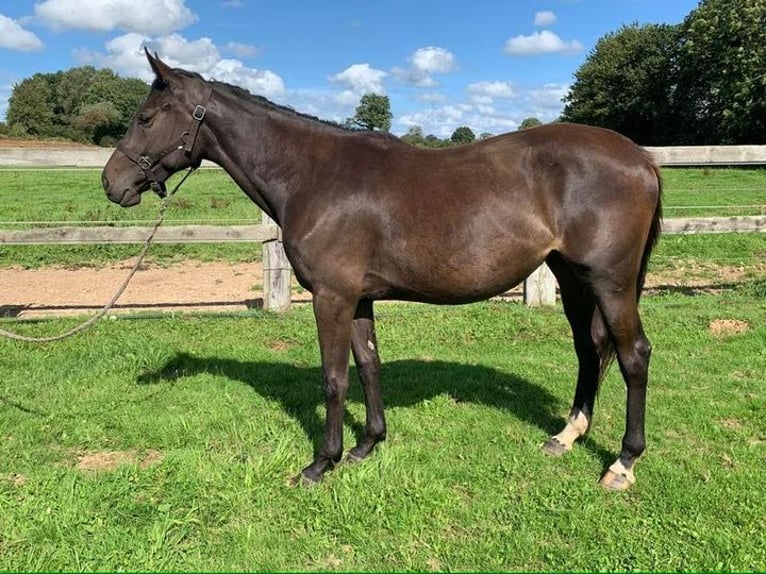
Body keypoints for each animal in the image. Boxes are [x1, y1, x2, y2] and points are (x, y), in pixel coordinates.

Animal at [103, 50, 664, 490]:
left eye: (147, 117)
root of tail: (640, 157)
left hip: (610, 282)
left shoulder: (331, 296)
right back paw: (566, 436)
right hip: (572, 278)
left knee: (633, 355)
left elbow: (333, 377)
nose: (112, 183)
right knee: (591, 348)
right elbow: (368, 365)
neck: (313, 175)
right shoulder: (359, 298)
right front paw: (366, 445)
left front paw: (320, 464)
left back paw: (623, 463)